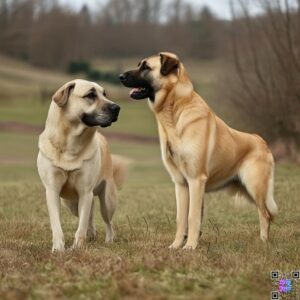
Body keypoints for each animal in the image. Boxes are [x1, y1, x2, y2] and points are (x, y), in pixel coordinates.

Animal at [37, 79, 125, 251]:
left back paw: (109, 239)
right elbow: (57, 224)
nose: (117, 108)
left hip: (108, 200)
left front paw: (77, 248)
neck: (70, 145)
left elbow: (81, 226)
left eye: (104, 94)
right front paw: (58, 249)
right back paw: (92, 234)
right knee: (89, 216)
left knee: (108, 221)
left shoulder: (85, 191)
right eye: (90, 95)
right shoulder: (52, 191)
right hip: (70, 203)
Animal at [119, 52, 276, 250]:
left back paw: (263, 242)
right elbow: (181, 218)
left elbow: (192, 217)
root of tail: (261, 141)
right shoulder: (180, 183)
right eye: (139, 64)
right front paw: (176, 245)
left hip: (254, 186)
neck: (175, 110)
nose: (120, 76)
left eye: (146, 67)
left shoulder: (195, 180)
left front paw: (190, 247)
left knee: (265, 214)